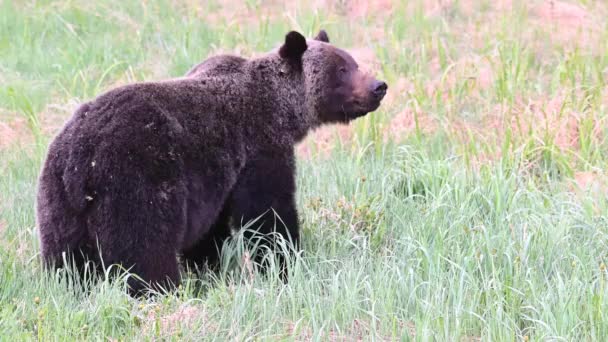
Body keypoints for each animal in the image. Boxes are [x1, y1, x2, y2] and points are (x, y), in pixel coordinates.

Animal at [35, 30, 388, 294]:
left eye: (353, 62)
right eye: (341, 69)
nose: (379, 86)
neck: (282, 110)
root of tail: (81, 160)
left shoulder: (217, 182)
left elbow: (211, 232)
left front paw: (209, 268)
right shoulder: (258, 149)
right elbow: (268, 214)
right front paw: (285, 261)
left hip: (60, 202)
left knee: (66, 259)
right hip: (134, 180)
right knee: (144, 250)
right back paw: (160, 289)